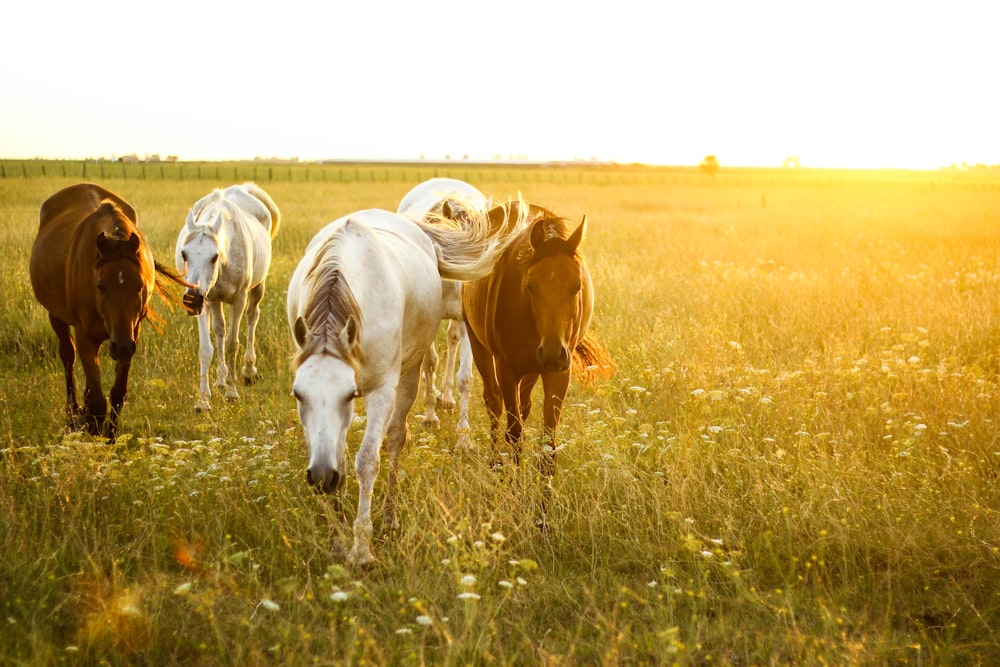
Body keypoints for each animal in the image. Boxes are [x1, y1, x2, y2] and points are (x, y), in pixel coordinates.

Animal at [29, 185, 189, 440]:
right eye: (100, 286)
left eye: (140, 285)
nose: (120, 346)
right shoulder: (86, 337)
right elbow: (96, 401)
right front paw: (92, 433)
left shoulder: (133, 334)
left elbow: (117, 393)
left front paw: (110, 438)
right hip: (56, 316)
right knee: (68, 357)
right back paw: (73, 414)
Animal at [175, 183, 282, 412]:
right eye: (184, 254)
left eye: (214, 256)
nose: (191, 300)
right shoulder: (206, 301)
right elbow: (206, 348)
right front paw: (203, 400)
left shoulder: (238, 300)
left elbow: (233, 343)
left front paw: (232, 393)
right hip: (215, 300)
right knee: (219, 330)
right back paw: (221, 379)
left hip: (257, 288)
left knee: (252, 317)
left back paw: (248, 371)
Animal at [288, 206, 524, 568]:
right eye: (299, 394)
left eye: (349, 394)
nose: (321, 477)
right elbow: (333, 454)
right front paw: (339, 540)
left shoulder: (383, 390)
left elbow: (367, 460)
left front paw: (361, 549)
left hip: (410, 376)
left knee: (397, 438)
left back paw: (389, 517)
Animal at [398, 177, 492, 444]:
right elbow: (430, 364)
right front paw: (430, 418)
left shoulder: (467, 324)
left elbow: (465, 378)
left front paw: (463, 438)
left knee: (453, 340)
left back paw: (448, 398)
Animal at [462, 201, 616, 508]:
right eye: (530, 285)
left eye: (577, 286)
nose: (553, 352)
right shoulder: (507, 369)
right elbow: (515, 435)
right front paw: (516, 493)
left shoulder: (558, 373)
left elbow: (548, 446)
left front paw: (543, 511)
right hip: (478, 344)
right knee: (493, 404)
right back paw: (495, 466)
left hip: (533, 369)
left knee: (523, 405)